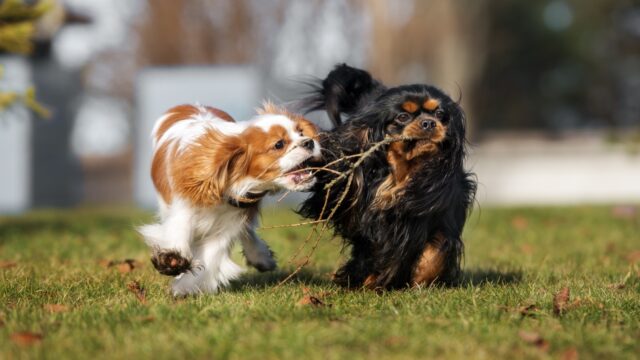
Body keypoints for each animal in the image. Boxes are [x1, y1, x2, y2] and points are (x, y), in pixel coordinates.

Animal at [140, 101, 320, 296]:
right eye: (279, 144)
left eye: (300, 133)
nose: (309, 142)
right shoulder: (183, 209)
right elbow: (178, 231)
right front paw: (172, 260)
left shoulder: (230, 222)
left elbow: (212, 253)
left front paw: (186, 286)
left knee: (247, 231)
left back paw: (260, 256)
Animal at [296, 64, 476, 290]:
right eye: (402, 117)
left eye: (440, 113)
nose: (429, 123)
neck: (402, 172)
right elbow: (377, 251)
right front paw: (370, 280)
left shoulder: (441, 212)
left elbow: (436, 250)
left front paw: (421, 280)